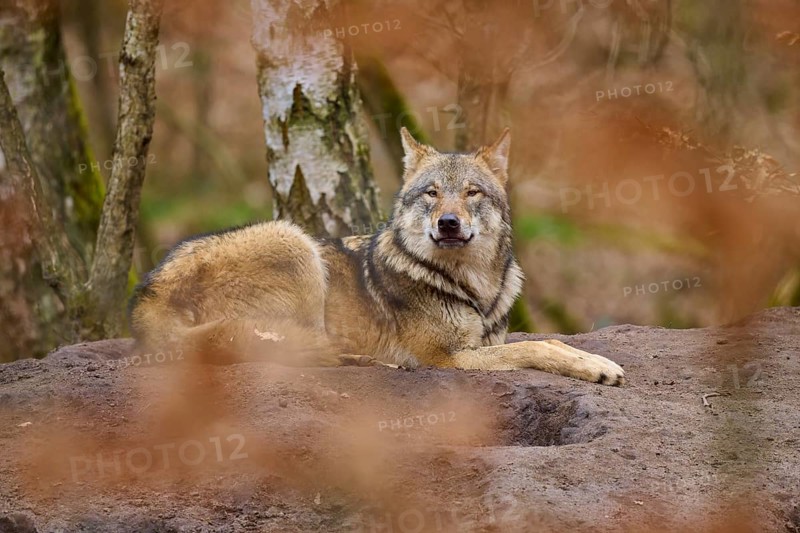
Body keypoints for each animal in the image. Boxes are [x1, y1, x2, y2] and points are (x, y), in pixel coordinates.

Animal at [129, 128, 625, 385]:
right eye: (431, 193)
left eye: (471, 193)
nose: (448, 223)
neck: (473, 287)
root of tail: (146, 295)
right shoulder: (448, 358)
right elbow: (539, 344)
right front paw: (599, 367)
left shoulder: (485, 342)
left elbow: (546, 341)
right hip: (295, 242)